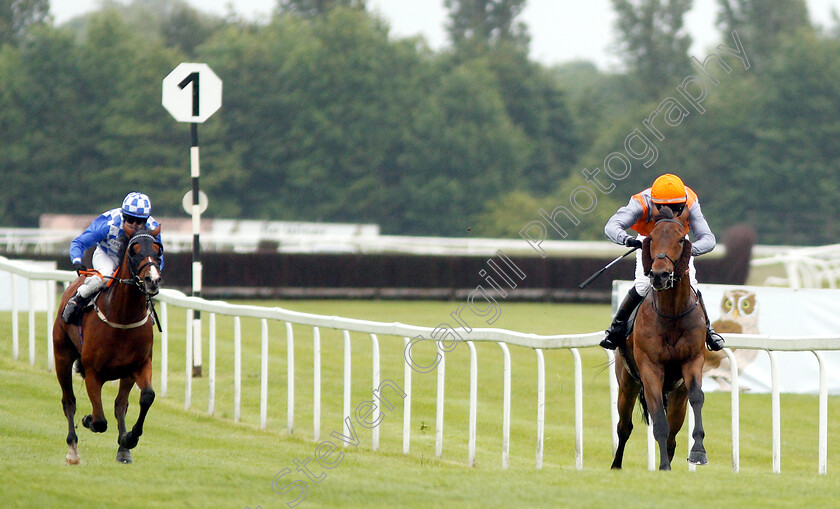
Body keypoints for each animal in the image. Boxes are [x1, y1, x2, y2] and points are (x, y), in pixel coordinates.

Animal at [54, 228, 164, 462]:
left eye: (158, 250)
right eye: (134, 250)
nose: (152, 280)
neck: (122, 318)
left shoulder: (139, 365)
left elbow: (146, 397)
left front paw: (129, 438)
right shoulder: (92, 373)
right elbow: (99, 421)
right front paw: (87, 420)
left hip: (126, 373)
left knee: (120, 404)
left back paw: (123, 449)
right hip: (62, 356)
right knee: (69, 401)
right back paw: (72, 448)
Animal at [612, 205, 708, 468]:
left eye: (681, 239)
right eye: (652, 238)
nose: (660, 275)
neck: (672, 313)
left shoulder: (692, 361)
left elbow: (697, 397)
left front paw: (698, 451)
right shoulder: (650, 367)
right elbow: (658, 421)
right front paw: (663, 466)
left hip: (676, 395)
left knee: (673, 435)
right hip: (627, 383)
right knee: (624, 426)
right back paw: (616, 465)